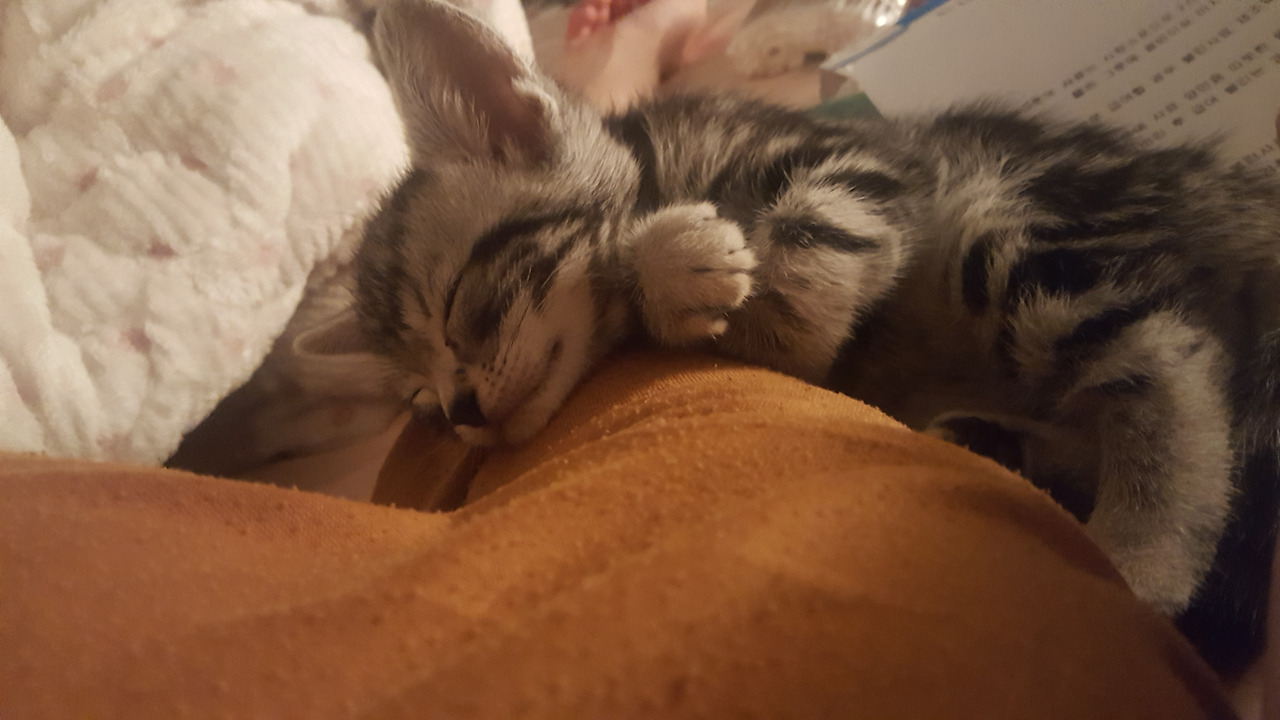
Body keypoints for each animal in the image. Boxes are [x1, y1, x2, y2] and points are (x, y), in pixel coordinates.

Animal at [354, 0, 1280, 673]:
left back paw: (1138, 559)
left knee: (1169, 363)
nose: (463, 411)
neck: (661, 160)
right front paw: (685, 270)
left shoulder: (855, 165)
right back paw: (1001, 445)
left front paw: (690, 267)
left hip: (1007, 225)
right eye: (422, 404)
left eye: (462, 308)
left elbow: (802, 252)